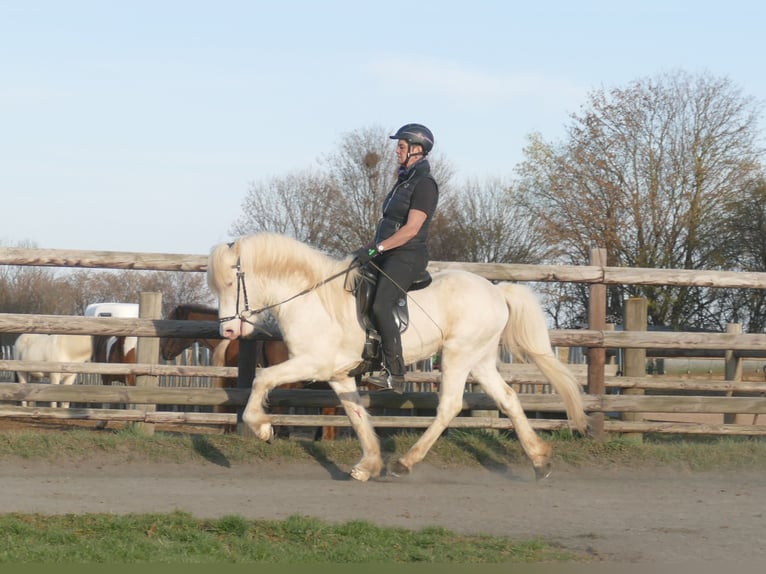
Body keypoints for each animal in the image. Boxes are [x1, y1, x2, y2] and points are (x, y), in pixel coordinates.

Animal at [207, 232, 588, 482]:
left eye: (231, 284)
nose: (229, 332)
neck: (312, 298)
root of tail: (496, 291)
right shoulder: (338, 374)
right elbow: (357, 416)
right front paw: (368, 464)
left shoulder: (312, 363)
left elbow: (262, 378)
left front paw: (263, 427)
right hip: (478, 359)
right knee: (508, 398)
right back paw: (540, 460)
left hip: (458, 354)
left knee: (450, 405)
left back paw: (406, 462)